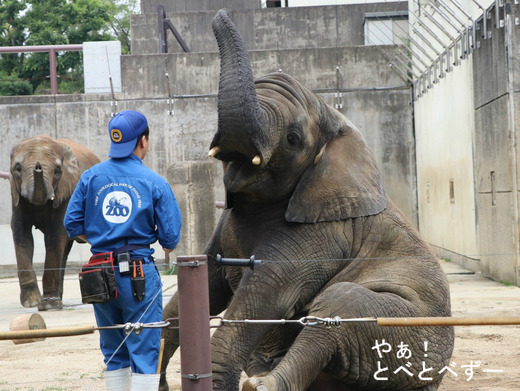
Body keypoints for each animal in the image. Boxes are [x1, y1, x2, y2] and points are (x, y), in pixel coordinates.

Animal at [9, 136, 99, 310]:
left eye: (57, 171)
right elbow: (21, 235)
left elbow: (55, 235)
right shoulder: (16, 194)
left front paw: (48, 306)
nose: (38, 167)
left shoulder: (68, 191)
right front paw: (32, 302)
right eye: (17, 168)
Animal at [160, 9, 452, 391]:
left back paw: (263, 384)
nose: (221, 14)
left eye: (293, 139)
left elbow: (265, 300)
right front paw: (156, 371)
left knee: (340, 306)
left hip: (412, 332)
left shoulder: (322, 234)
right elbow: (205, 283)